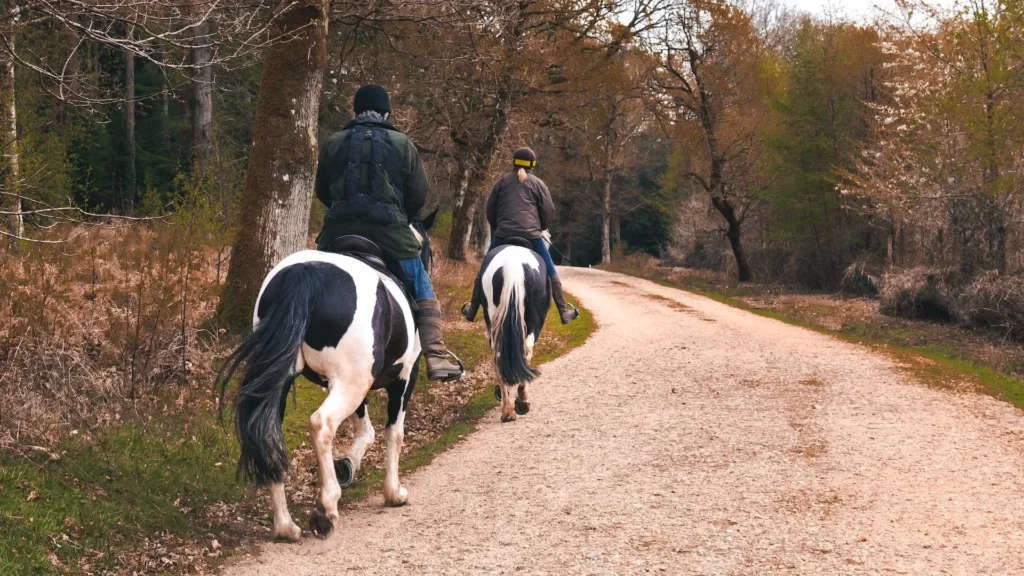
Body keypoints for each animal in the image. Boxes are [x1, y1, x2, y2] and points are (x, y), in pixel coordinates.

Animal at [217, 210, 438, 541]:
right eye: (428, 251)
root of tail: (306, 274)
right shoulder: (403, 379)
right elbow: (393, 433)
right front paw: (393, 492)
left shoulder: (357, 386)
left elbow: (366, 431)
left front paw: (347, 465)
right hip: (350, 383)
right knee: (322, 425)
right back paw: (326, 509)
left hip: (286, 382)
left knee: (269, 434)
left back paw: (285, 526)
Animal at [469, 240, 551, 422]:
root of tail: (512, 266)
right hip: (534, 321)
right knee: (526, 351)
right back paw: (520, 402)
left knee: (498, 354)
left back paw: (507, 410)